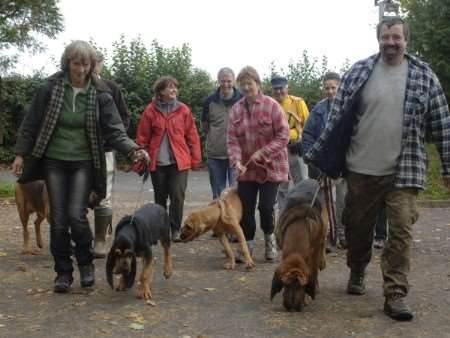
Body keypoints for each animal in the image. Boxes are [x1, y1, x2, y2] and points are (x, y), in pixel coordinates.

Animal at [270, 180, 326, 312]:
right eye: (285, 284)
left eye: (302, 286)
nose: (292, 306)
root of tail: (313, 180)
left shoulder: (314, 254)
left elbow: (314, 271)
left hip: (325, 224)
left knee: (323, 240)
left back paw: (322, 261)